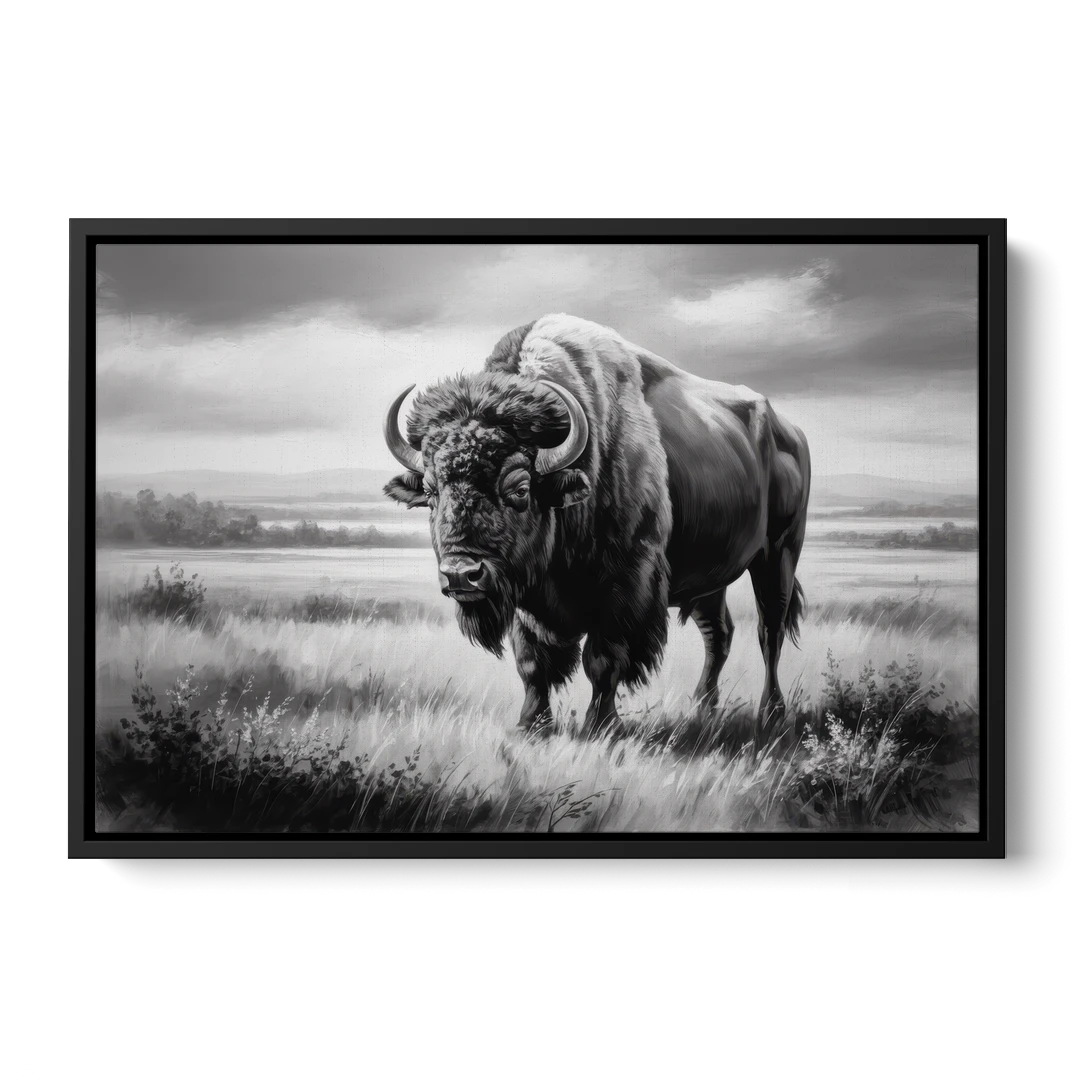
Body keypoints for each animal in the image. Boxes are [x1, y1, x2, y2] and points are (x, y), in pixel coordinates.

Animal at [383, 313, 811, 747]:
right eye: (431, 492)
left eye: (519, 489)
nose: (460, 574)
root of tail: (791, 432)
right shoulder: (527, 597)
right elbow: (531, 663)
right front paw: (531, 726)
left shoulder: (625, 585)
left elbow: (603, 660)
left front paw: (602, 726)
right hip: (711, 578)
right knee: (718, 633)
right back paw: (704, 710)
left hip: (778, 555)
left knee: (769, 630)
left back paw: (771, 715)